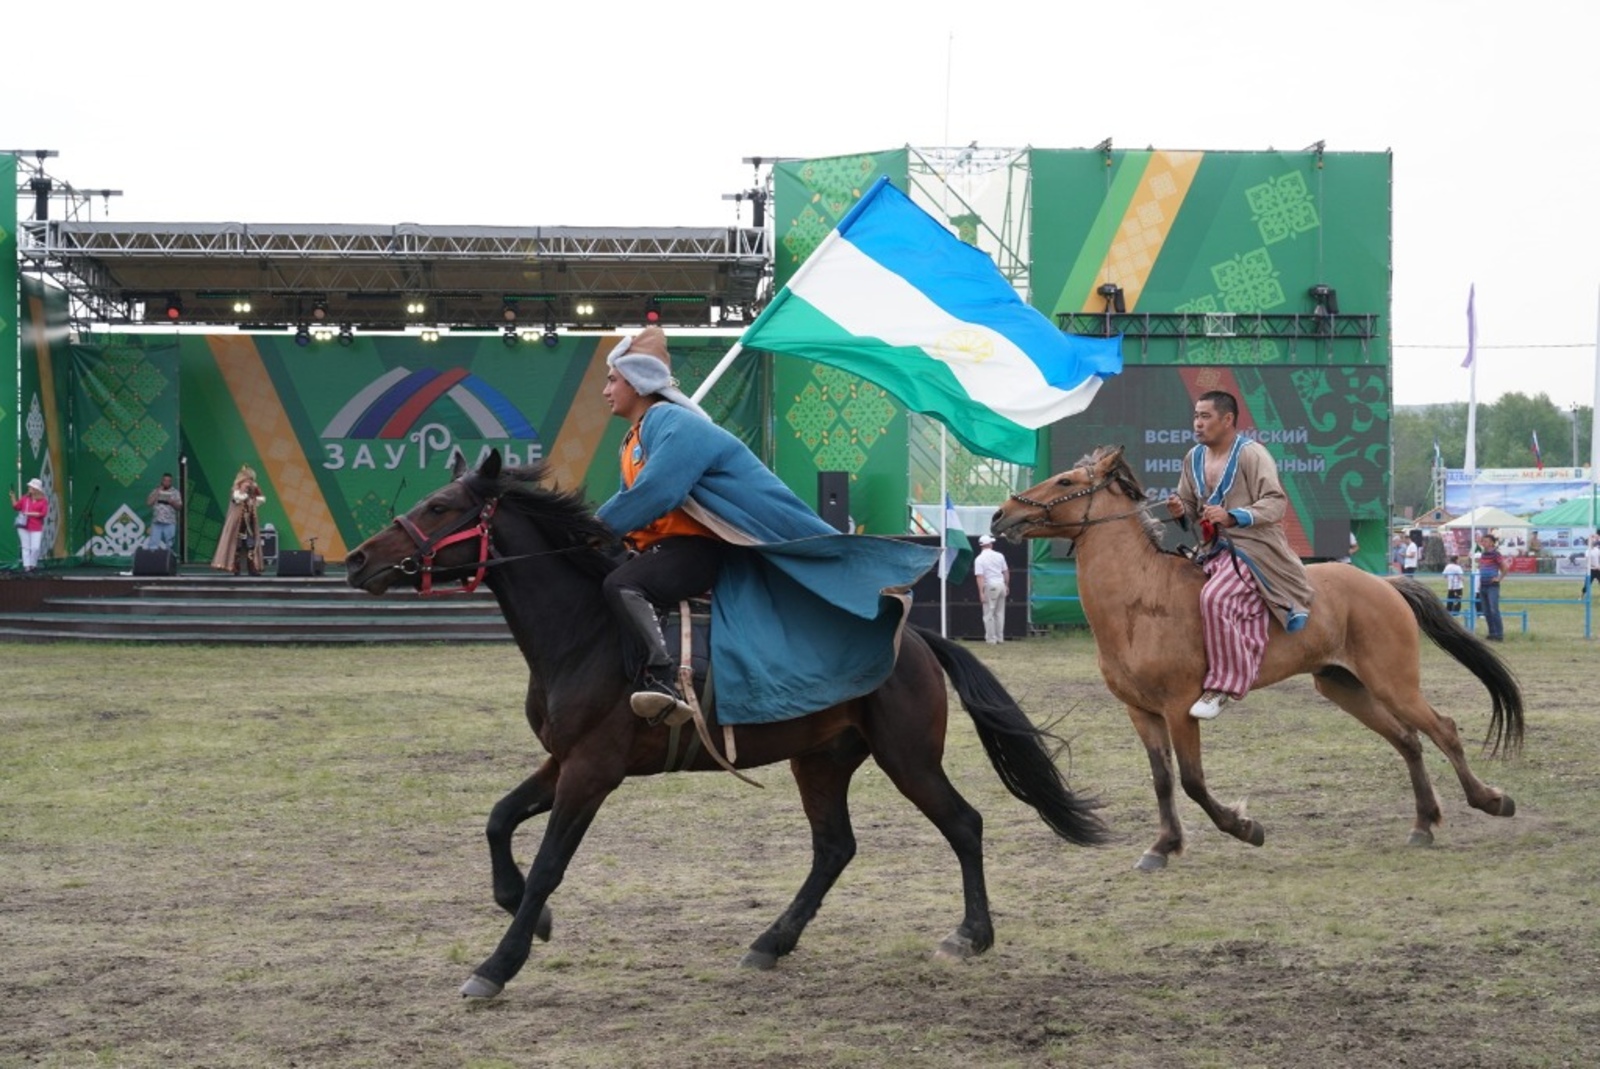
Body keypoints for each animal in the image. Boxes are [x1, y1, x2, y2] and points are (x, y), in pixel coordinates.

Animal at [344, 448, 1107, 998]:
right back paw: (772, 942)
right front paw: (523, 916)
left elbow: (548, 867)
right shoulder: (562, 761)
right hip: (821, 759)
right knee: (835, 847)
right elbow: (500, 822)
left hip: (907, 758)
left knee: (963, 825)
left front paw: (498, 965)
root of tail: (915, 636)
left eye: (439, 506)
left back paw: (970, 935)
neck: (587, 633)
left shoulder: (591, 772)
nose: (357, 559)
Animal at [985, 448, 1523, 870]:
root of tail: (1383, 582)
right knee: (1408, 740)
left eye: (1066, 482)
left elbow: (1193, 782)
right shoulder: (1141, 712)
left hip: (1394, 683)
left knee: (1442, 729)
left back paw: (1490, 800)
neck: (1140, 600)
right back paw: (1424, 823)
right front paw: (1163, 846)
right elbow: (1163, 781)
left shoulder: (1180, 708)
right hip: (1344, 686)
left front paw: (1243, 827)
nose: (999, 515)